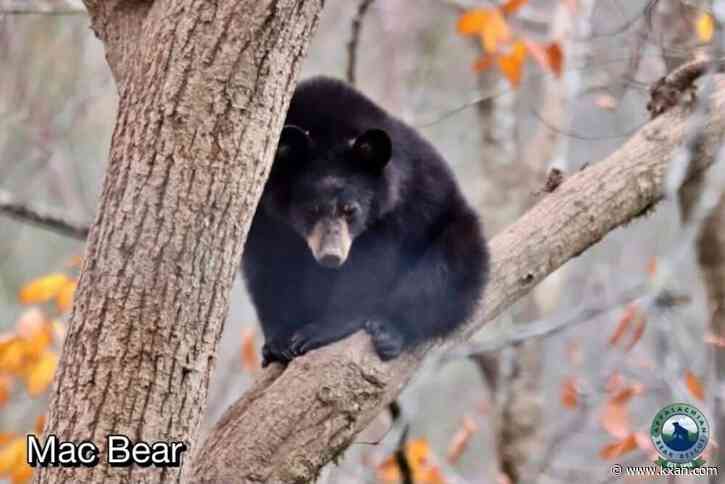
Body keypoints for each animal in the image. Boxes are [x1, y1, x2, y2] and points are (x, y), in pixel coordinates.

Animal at [242, 76, 489, 367]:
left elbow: (371, 267)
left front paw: (321, 330)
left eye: (350, 210)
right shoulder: (263, 216)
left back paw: (389, 331)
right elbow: (268, 269)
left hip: (454, 226)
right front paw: (278, 343)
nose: (331, 257)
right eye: (311, 210)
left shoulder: (394, 209)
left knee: (446, 274)